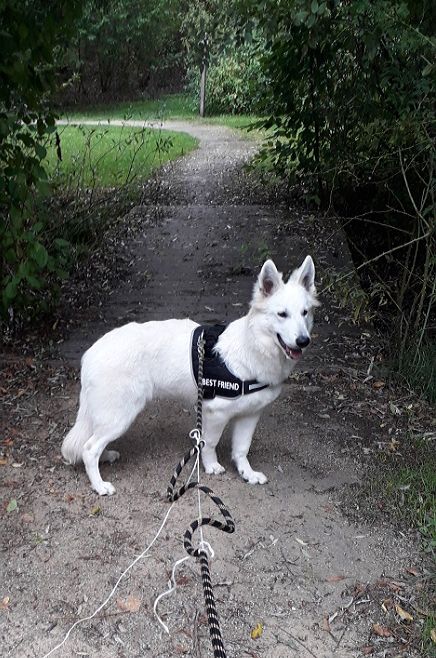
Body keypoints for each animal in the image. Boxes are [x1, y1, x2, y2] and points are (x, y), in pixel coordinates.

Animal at [61, 256, 318, 492]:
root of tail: (90, 353)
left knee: (89, 444)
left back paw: (106, 457)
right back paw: (99, 485)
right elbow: (209, 443)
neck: (252, 347)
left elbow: (241, 449)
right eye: (282, 314)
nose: (303, 341)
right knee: (89, 449)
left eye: (304, 313)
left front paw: (247, 473)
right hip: (120, 415)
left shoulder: (250, 415)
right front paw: (211, 466)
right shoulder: (215, 413)